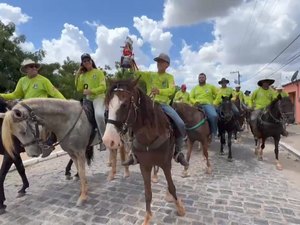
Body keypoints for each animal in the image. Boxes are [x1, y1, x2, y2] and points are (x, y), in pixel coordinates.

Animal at [102, 78, 184, 225]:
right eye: (107, 106)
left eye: (124, 105)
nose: (108, 140)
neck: (149, 136)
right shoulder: (144, 165)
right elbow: (147, 193)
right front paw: (147, 217)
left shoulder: (165, 163)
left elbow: (171, 186)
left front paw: (179, 208)